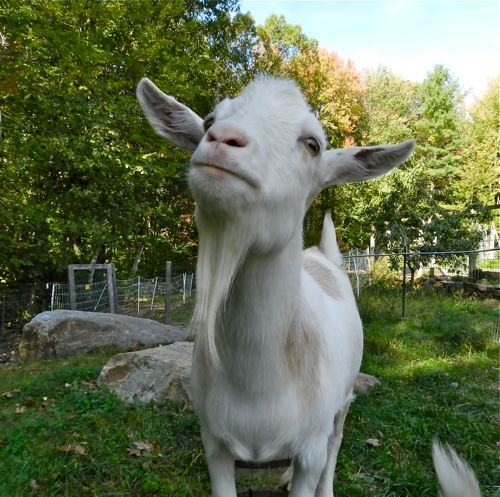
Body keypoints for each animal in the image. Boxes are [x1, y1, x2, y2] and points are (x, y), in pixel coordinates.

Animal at [136, 76, 476, 496]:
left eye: (312, 144)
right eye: (210, 121)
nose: (222, 139)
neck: (258, 387)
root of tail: (321, 254)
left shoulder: (309, 448)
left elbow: (317, 463)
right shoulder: (213, 442)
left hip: (343, 401)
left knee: (335, 445)